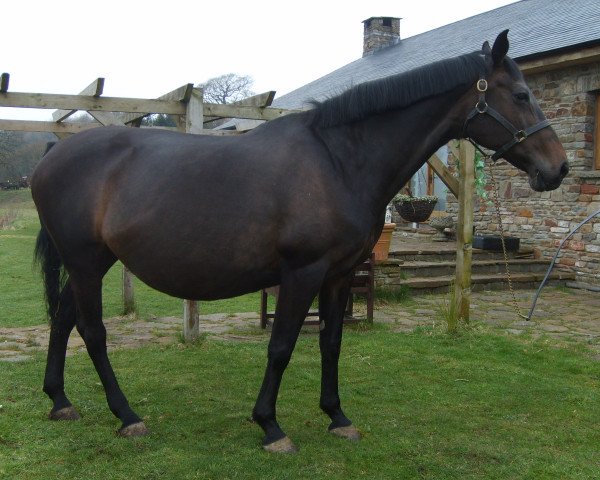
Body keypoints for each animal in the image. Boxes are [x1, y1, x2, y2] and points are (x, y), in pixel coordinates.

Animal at [31, 31, 568, 454]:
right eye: (521, 94)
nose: (558, 168)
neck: (340, 160)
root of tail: (53, 154)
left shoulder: (339, 274)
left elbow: (331, 341)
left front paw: (337, 417)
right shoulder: (301, 273)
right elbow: (282, 345)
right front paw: (270, 426)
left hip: (91, 263)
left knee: (63, 318)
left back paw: (60, 401)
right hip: (86, 262)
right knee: (92, 331)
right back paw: (126, 416)